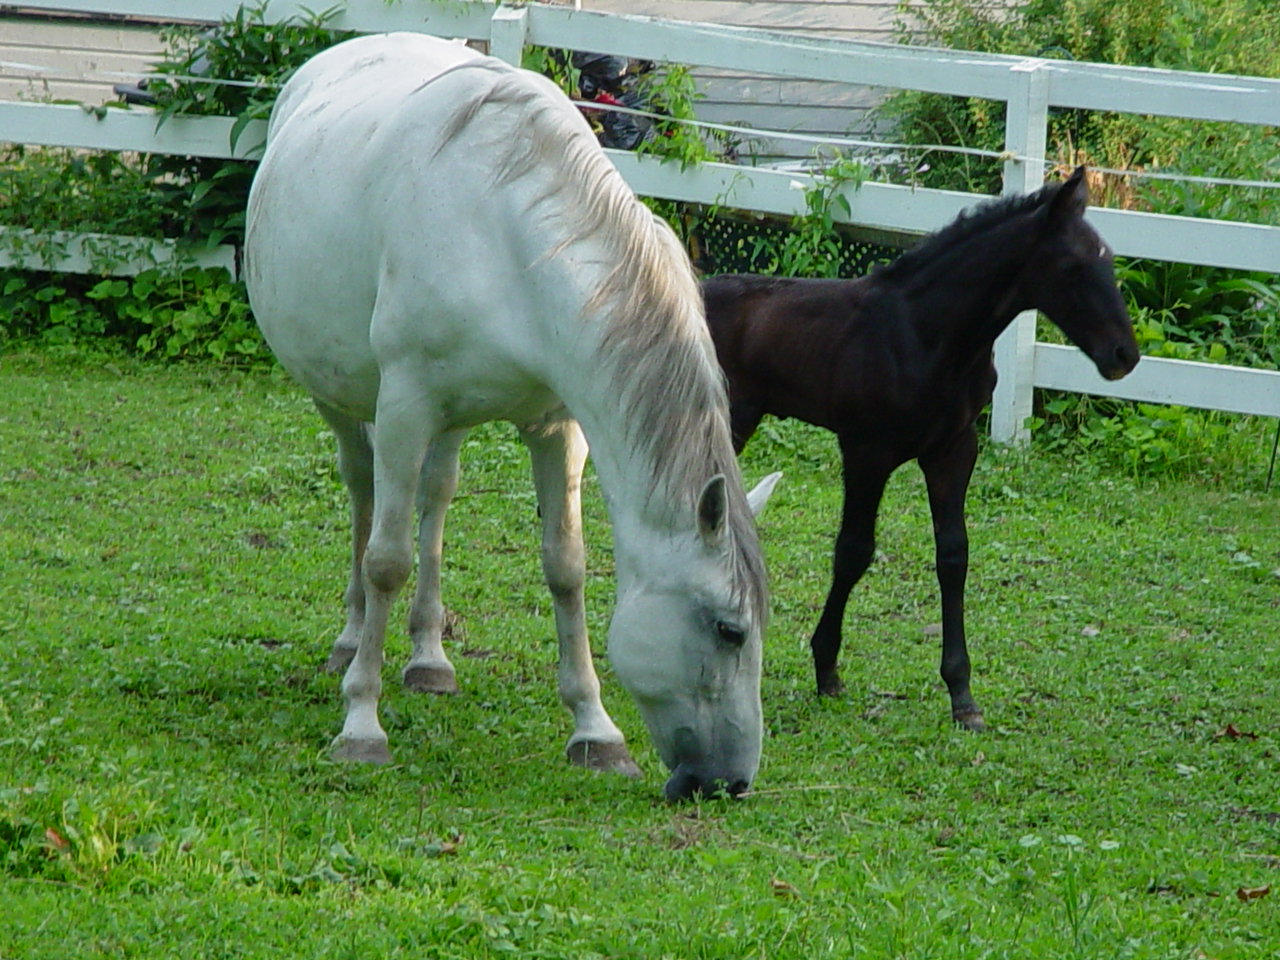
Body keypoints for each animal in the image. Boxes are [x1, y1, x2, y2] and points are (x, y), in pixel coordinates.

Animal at [244, 33, 779, 801]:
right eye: (729, 629)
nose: (730, 782)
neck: (503, 236)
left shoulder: (555, 427)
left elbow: (566, 566)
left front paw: (595, 731)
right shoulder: (403, 406)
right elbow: (386, 561)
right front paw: (361, 723)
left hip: (451, 421)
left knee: (435, 498)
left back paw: (429, 657)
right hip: (342, 398)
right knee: (364, 492)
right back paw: (351, 642)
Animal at [703, 167, 1139, 731]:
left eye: (1109, 257)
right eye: (1071, 266)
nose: (1124, 355)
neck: (926, 334)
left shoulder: (953, 448)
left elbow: (953, 554)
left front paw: (962, 694)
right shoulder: (867, 450)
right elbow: (853, 551)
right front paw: (827, 668)